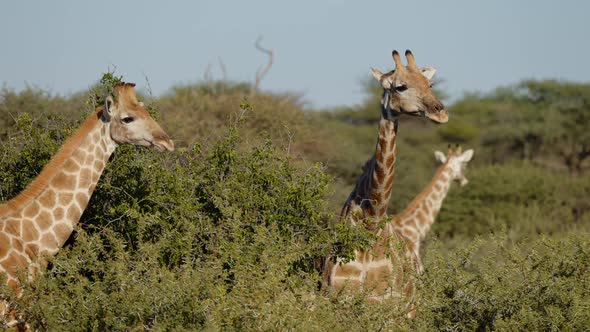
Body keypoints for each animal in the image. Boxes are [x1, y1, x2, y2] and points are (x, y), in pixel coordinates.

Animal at [324, 49, 448, 316]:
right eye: (400, 86)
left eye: (430, 84)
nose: (440, 112)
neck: (372, 221)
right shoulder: (336, 300)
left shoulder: (388, 306)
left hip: (412, 310)